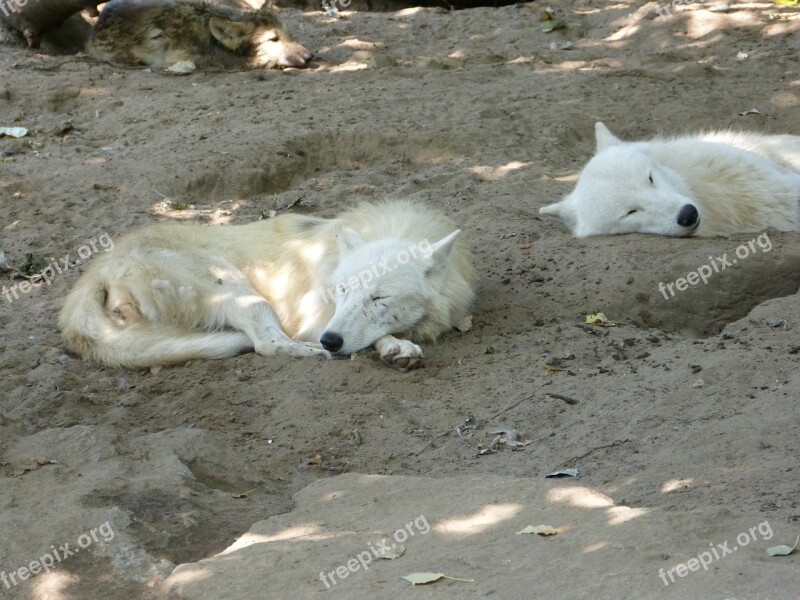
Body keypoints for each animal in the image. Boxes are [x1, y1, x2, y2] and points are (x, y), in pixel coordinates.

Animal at [59, 202, 478, 370]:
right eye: (342, 291)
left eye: (378, 298)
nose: (330, 341)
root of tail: (99, 264)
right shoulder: (317, 317)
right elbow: (371, 337)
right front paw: (395, 347)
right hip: (241, 292)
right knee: (267, 343)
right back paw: (310, 353)